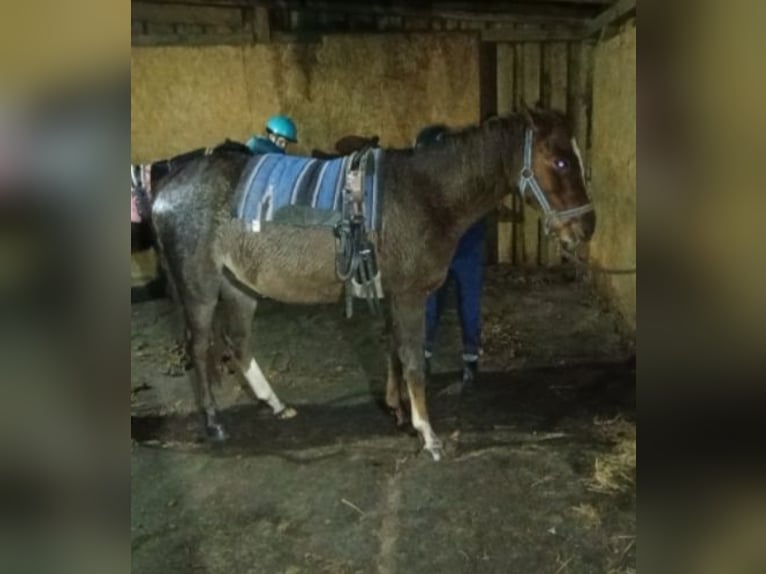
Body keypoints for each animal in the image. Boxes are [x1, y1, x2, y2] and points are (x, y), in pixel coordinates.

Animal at [147, 106, 596, 462]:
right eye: (560, 163)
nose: (586, 228)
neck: (426, 194)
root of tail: (165, 190)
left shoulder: (395, 294)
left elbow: (394, 352)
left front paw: (398, 411)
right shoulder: (411, 296)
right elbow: (413, 360)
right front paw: (427, 434)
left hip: (240, 285)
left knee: (238, 343)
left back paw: (276, 405)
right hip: (200, 287)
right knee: (199, 346)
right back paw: (214, 423)